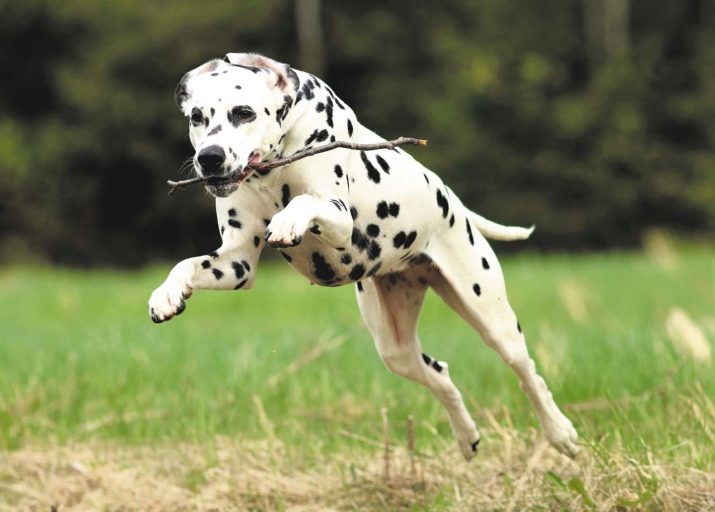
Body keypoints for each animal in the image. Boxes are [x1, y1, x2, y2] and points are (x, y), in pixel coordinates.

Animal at [148, 53, 580, 460]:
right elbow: (188, 264)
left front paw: (289, 219)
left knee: (528, 373)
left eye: (243, 112)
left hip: (493, 317)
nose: (210, 157)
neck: (273, 169)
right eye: (198, 117)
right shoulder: (236, 262)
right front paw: (166, 294)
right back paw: (466, 436)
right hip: (394, 348)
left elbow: (306, 202)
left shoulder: (340, 221)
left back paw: (560, 433)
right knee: (439, 374)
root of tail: (455, 204)